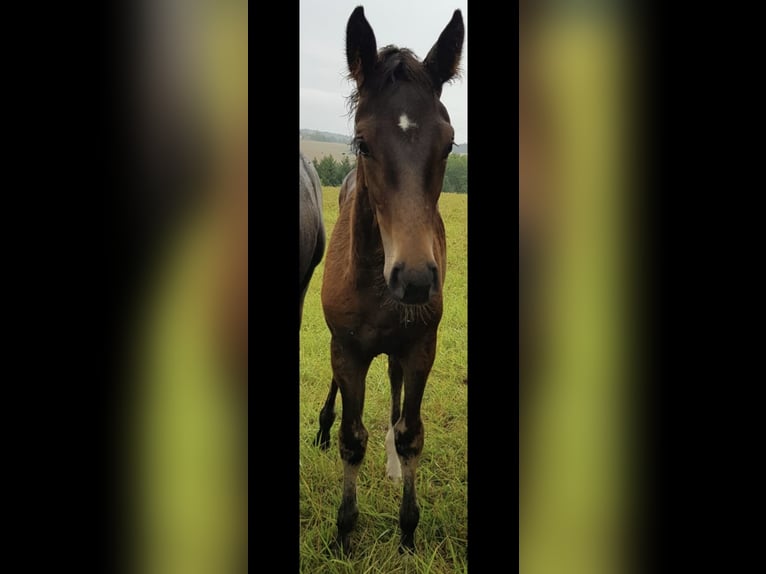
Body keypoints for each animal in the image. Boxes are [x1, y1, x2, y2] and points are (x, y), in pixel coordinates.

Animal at [316, 3, 464, 552]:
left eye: (449, 143)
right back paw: (321, 427)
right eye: (361, 142)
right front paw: (343, 533)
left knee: (397, 386)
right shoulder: (347, 349)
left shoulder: (422, 345)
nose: (416, 280)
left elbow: (411, 433)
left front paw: (407, 533)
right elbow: (350, 439)